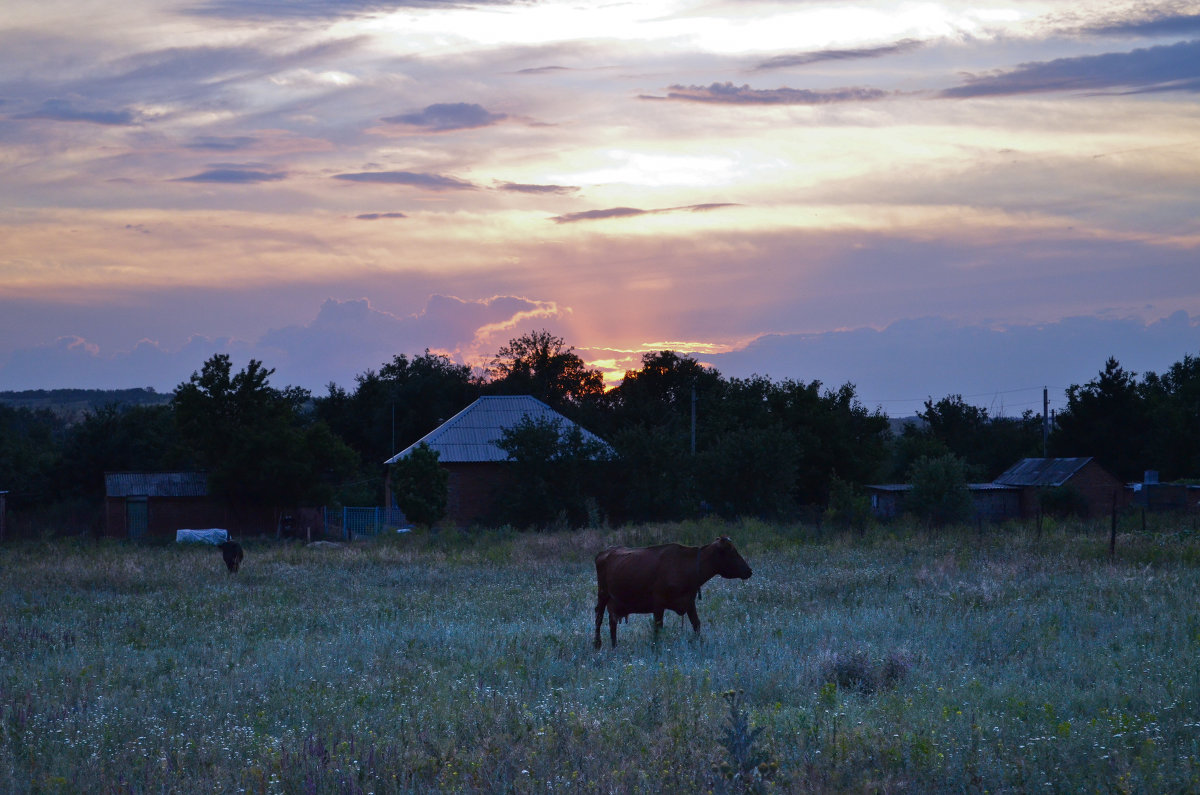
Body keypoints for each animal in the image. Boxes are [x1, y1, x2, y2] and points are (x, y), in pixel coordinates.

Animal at [592, 538, 748, 653]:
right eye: (732, 552)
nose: (749, 570)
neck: (687, 566)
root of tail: (606, 551)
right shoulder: (658, 603)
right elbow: (658, 627)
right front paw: (656, 648)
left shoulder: (689, 602)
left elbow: (696, 624)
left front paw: (698, 644)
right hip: (603, 594)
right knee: (599, 618)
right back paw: (597, 645)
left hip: (614, 602)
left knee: (612, 622)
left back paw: (614, 646)